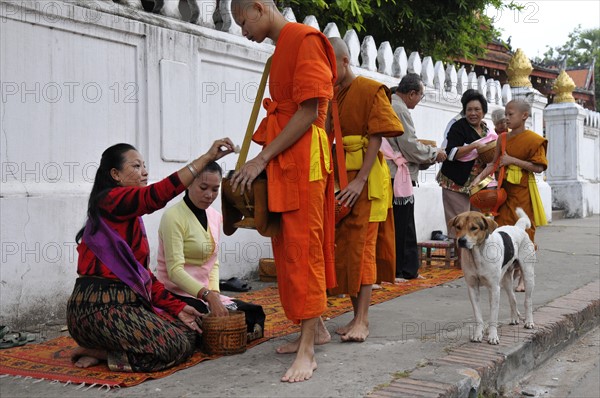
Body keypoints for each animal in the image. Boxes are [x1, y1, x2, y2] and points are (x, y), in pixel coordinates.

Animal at [448, 208, 536, 346]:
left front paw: (493, 336)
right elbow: (478, 315)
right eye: (458, 227)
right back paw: (514, 319)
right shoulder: (472, 288)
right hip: (506, 280)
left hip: (528, 275)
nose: (461, 240)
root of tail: (518, 227)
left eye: (474, 228)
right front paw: (478, 334)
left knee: (528, 301)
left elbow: (493, 316)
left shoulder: (494, 289)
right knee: (513, 298)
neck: (477, 255)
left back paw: (529, 322)